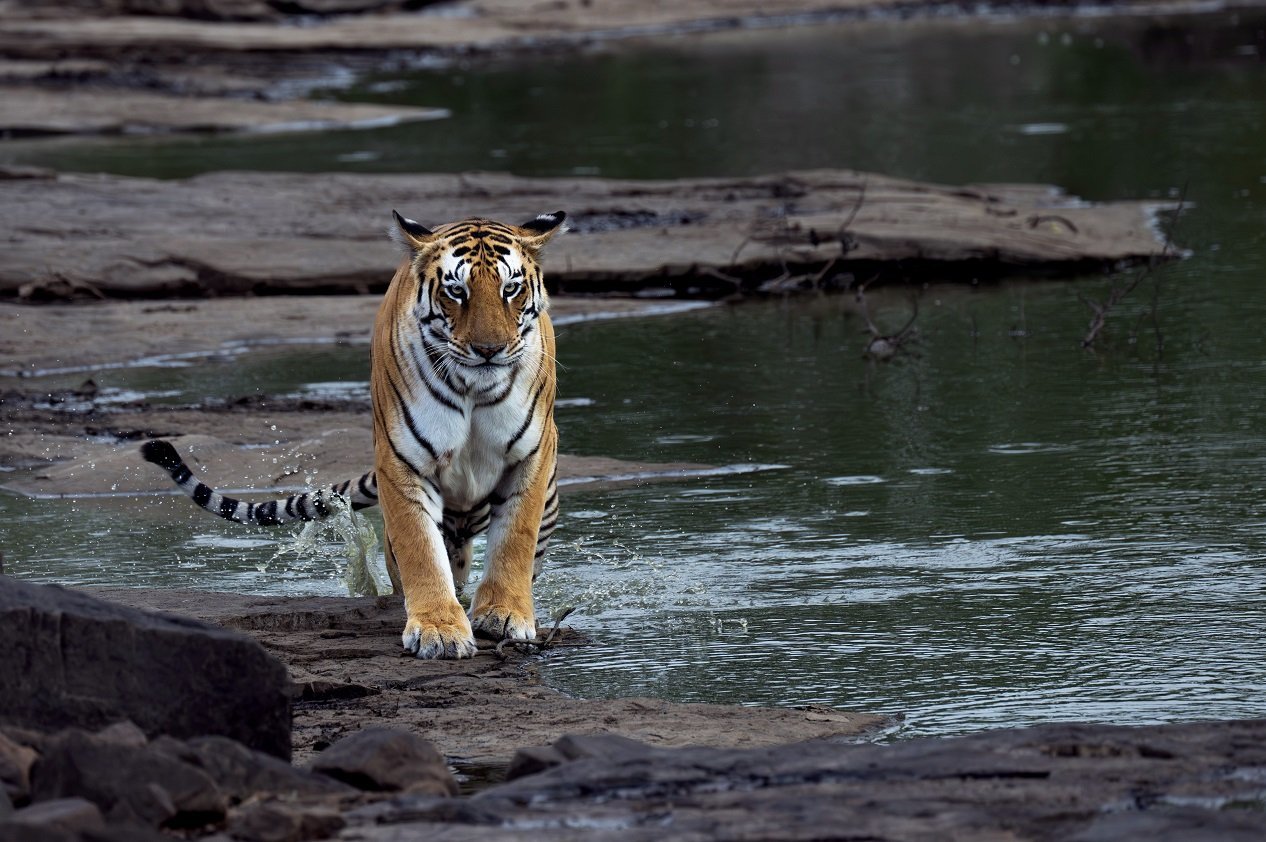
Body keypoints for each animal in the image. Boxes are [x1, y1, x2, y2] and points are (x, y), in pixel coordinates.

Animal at [141, 210, 566, 659]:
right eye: (456, 291)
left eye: (510, 289)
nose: (489, 350)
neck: (474, 387)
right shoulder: (402, 460)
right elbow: (420, 549)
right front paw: (439, 629)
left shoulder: (530, 457)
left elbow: (515, 540)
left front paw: (504, 614)